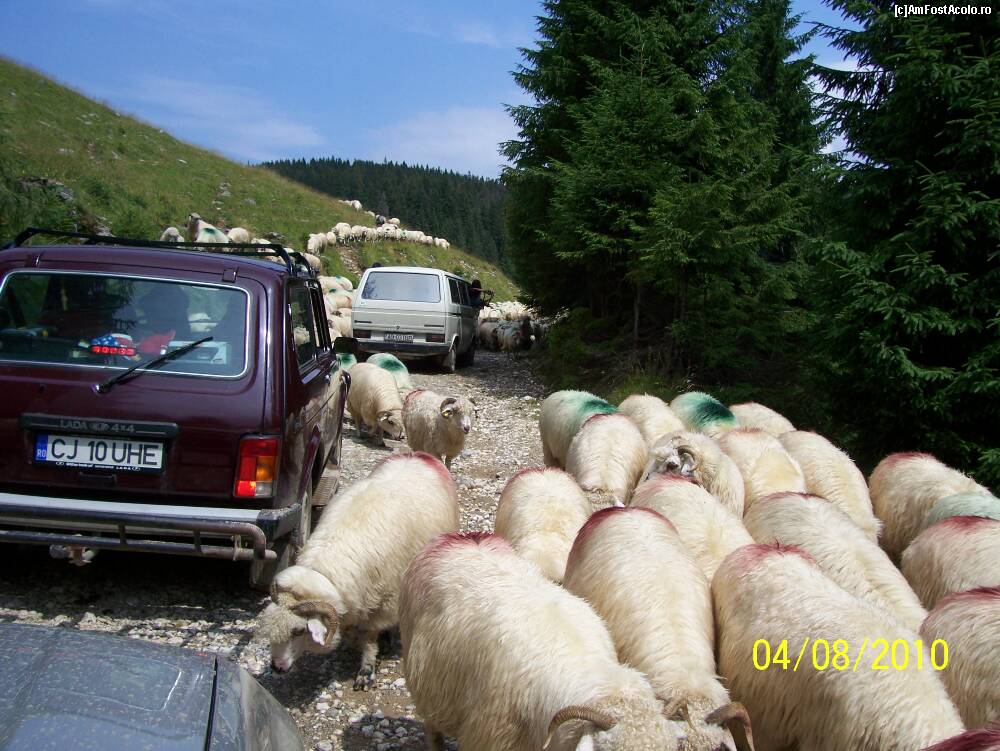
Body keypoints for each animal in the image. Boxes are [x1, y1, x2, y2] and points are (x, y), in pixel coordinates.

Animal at [258, 452, 459, 688]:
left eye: (298, 630)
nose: (276, 668)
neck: (327, 568)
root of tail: (419, 455)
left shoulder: (388, 600)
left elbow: (370, 637)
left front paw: (367, 669)